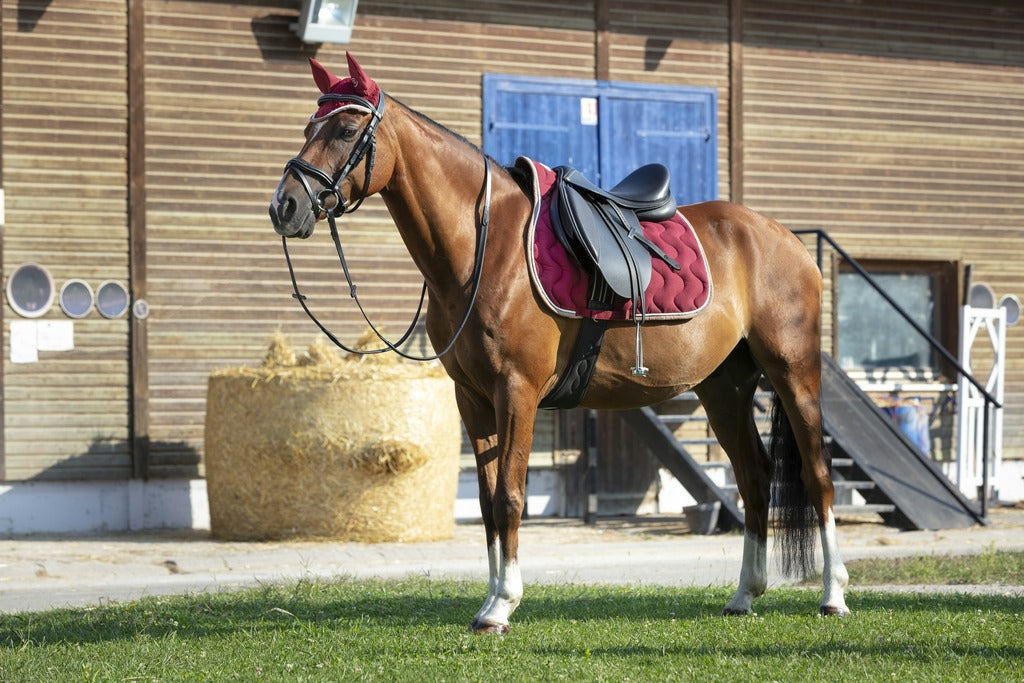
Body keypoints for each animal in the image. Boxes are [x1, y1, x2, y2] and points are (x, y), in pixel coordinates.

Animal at [266, 54, 847, 634]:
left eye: (346, 130)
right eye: (308, 128)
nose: (284, 206)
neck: (484, 248)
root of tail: (786, 238)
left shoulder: (517, 391)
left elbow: (510, 495)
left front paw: (502, 605)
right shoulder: (472, 398)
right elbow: (485, 501)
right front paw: (489, 601)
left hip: (793, 373)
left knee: (817, 473)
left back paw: (833, 595)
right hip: (724, 390)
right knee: (754, 477)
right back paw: (745, 594)